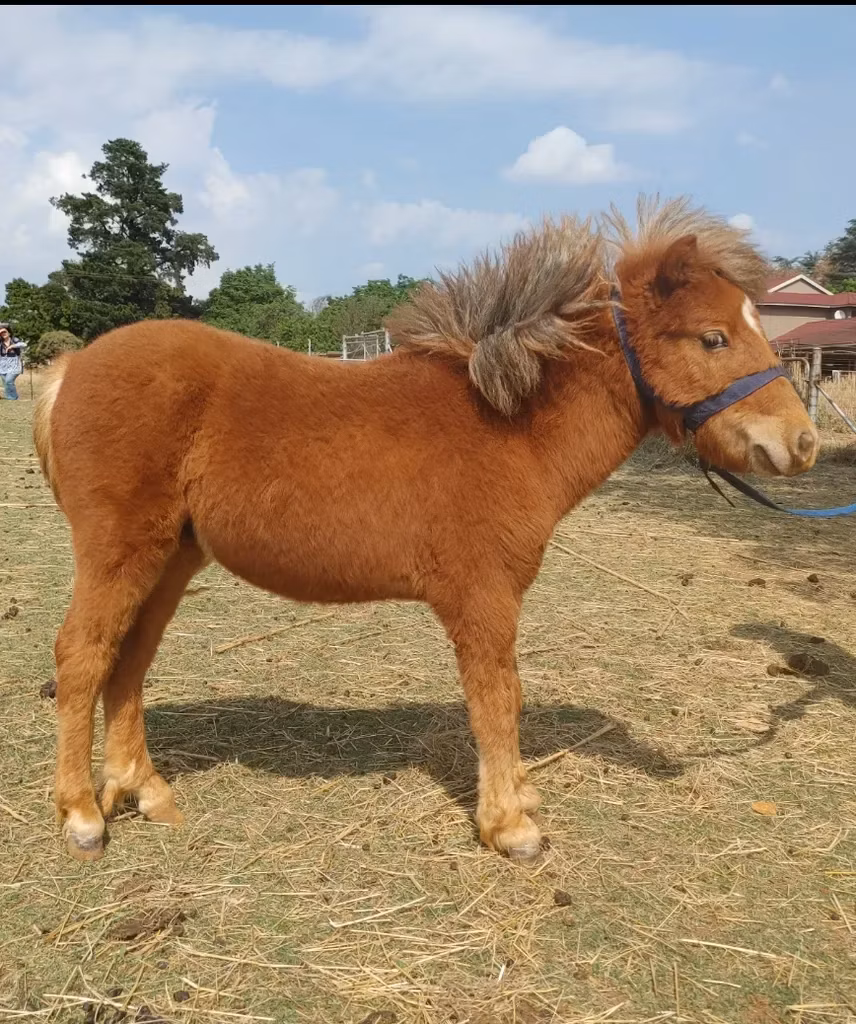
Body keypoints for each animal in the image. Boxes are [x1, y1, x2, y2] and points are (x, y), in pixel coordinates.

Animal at [33, 196, 819, 865]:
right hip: (119, 551)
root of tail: (71, 366)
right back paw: (82, 816)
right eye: (713, 337)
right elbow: (497, 699)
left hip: (170, 558)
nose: (803, 442)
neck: (507, 426)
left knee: (128, 661)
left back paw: (144, 791)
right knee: (82, 655)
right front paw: (511, 825)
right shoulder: (484, 597)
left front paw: (519, 796)